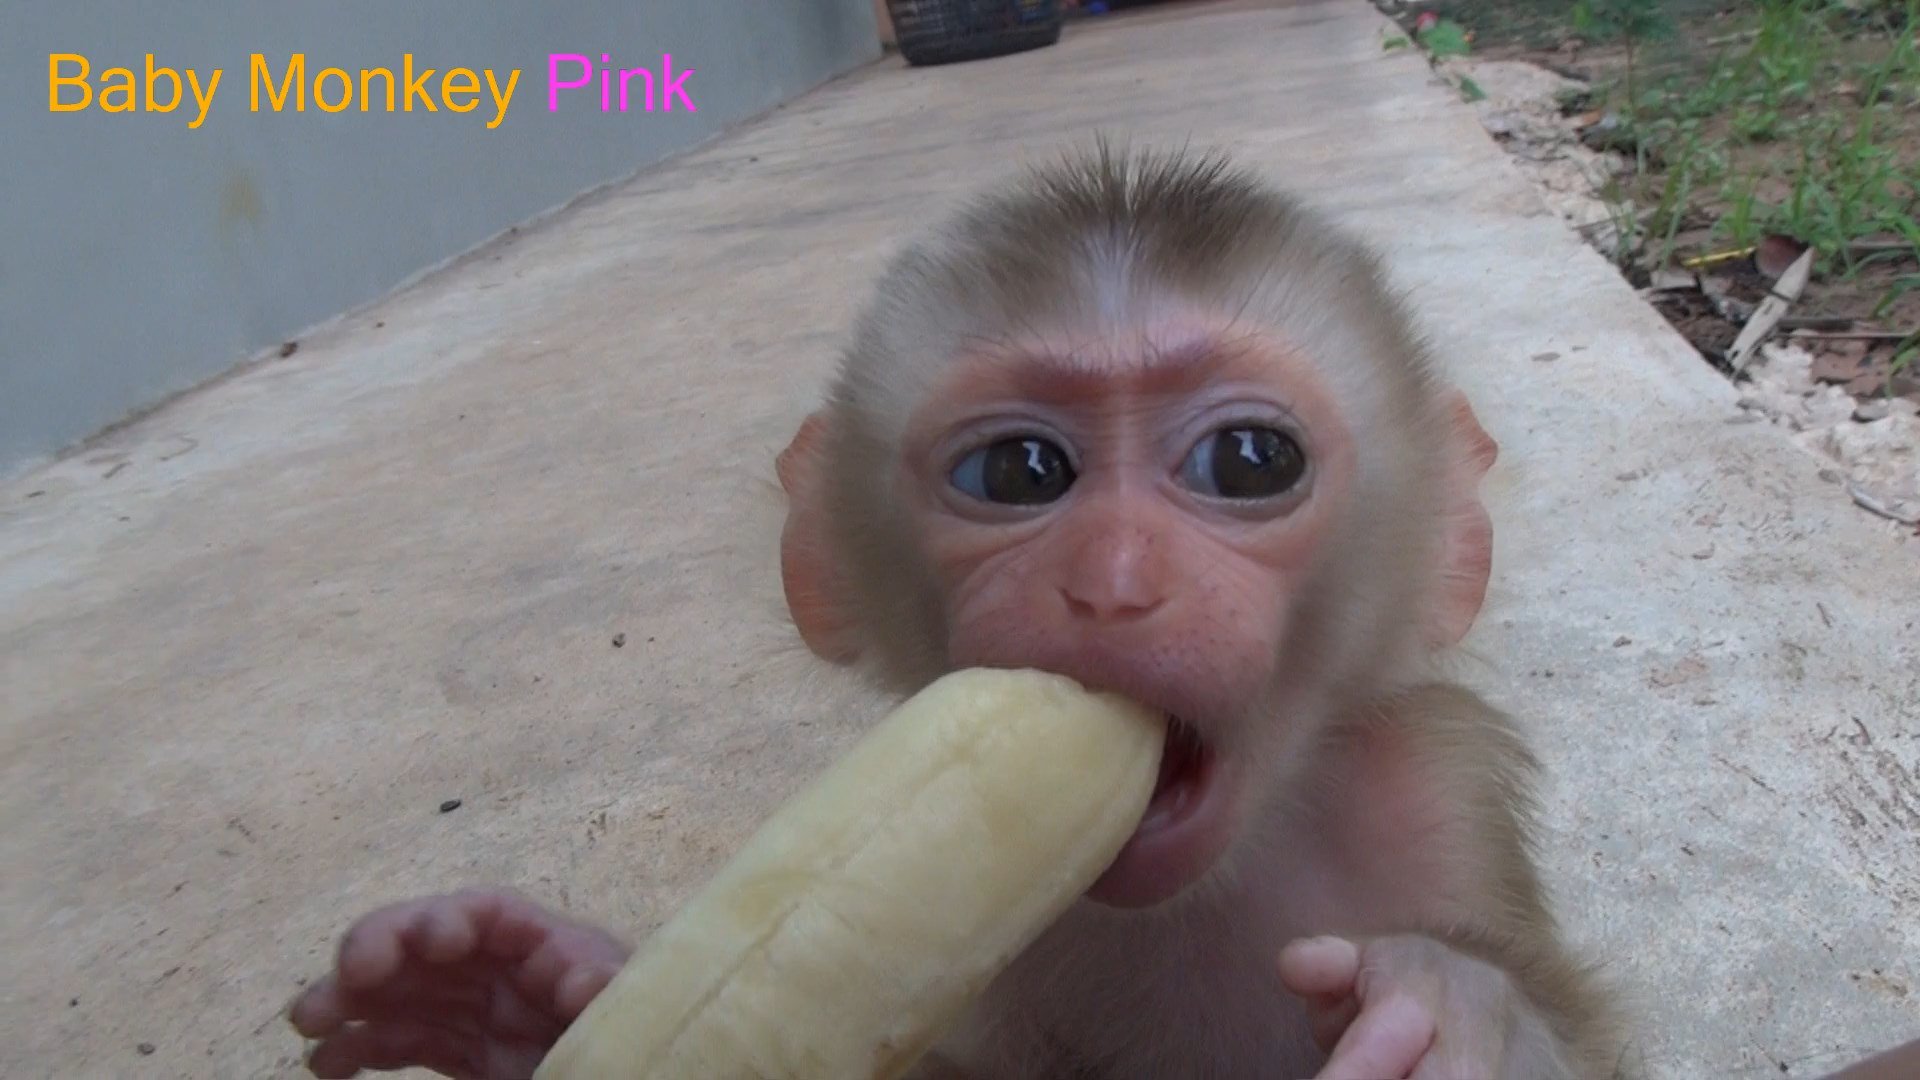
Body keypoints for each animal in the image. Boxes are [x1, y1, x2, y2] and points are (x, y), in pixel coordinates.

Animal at [287, 141, 1627, 1079]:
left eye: (1251, 462)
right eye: (1019, 474)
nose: (1114, 582)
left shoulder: (1434, 792)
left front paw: (1462, 1014)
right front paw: (527, 995)